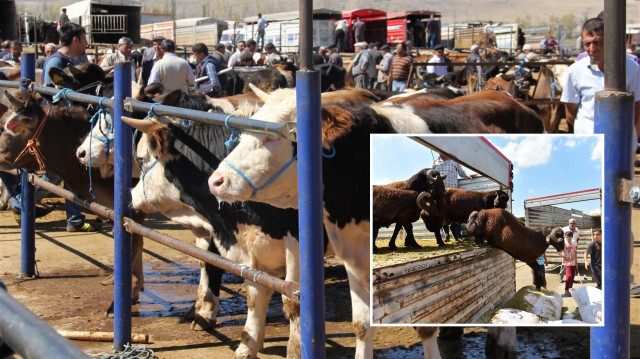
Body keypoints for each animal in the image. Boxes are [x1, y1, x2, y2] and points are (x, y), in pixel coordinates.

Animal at [119, 113, 304, 359]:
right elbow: (253, 293)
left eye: (141, 159)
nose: (132, 196)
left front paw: (296, 349)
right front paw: (248, 344)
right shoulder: (248, 248)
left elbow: (293, 300)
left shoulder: (296, 244)